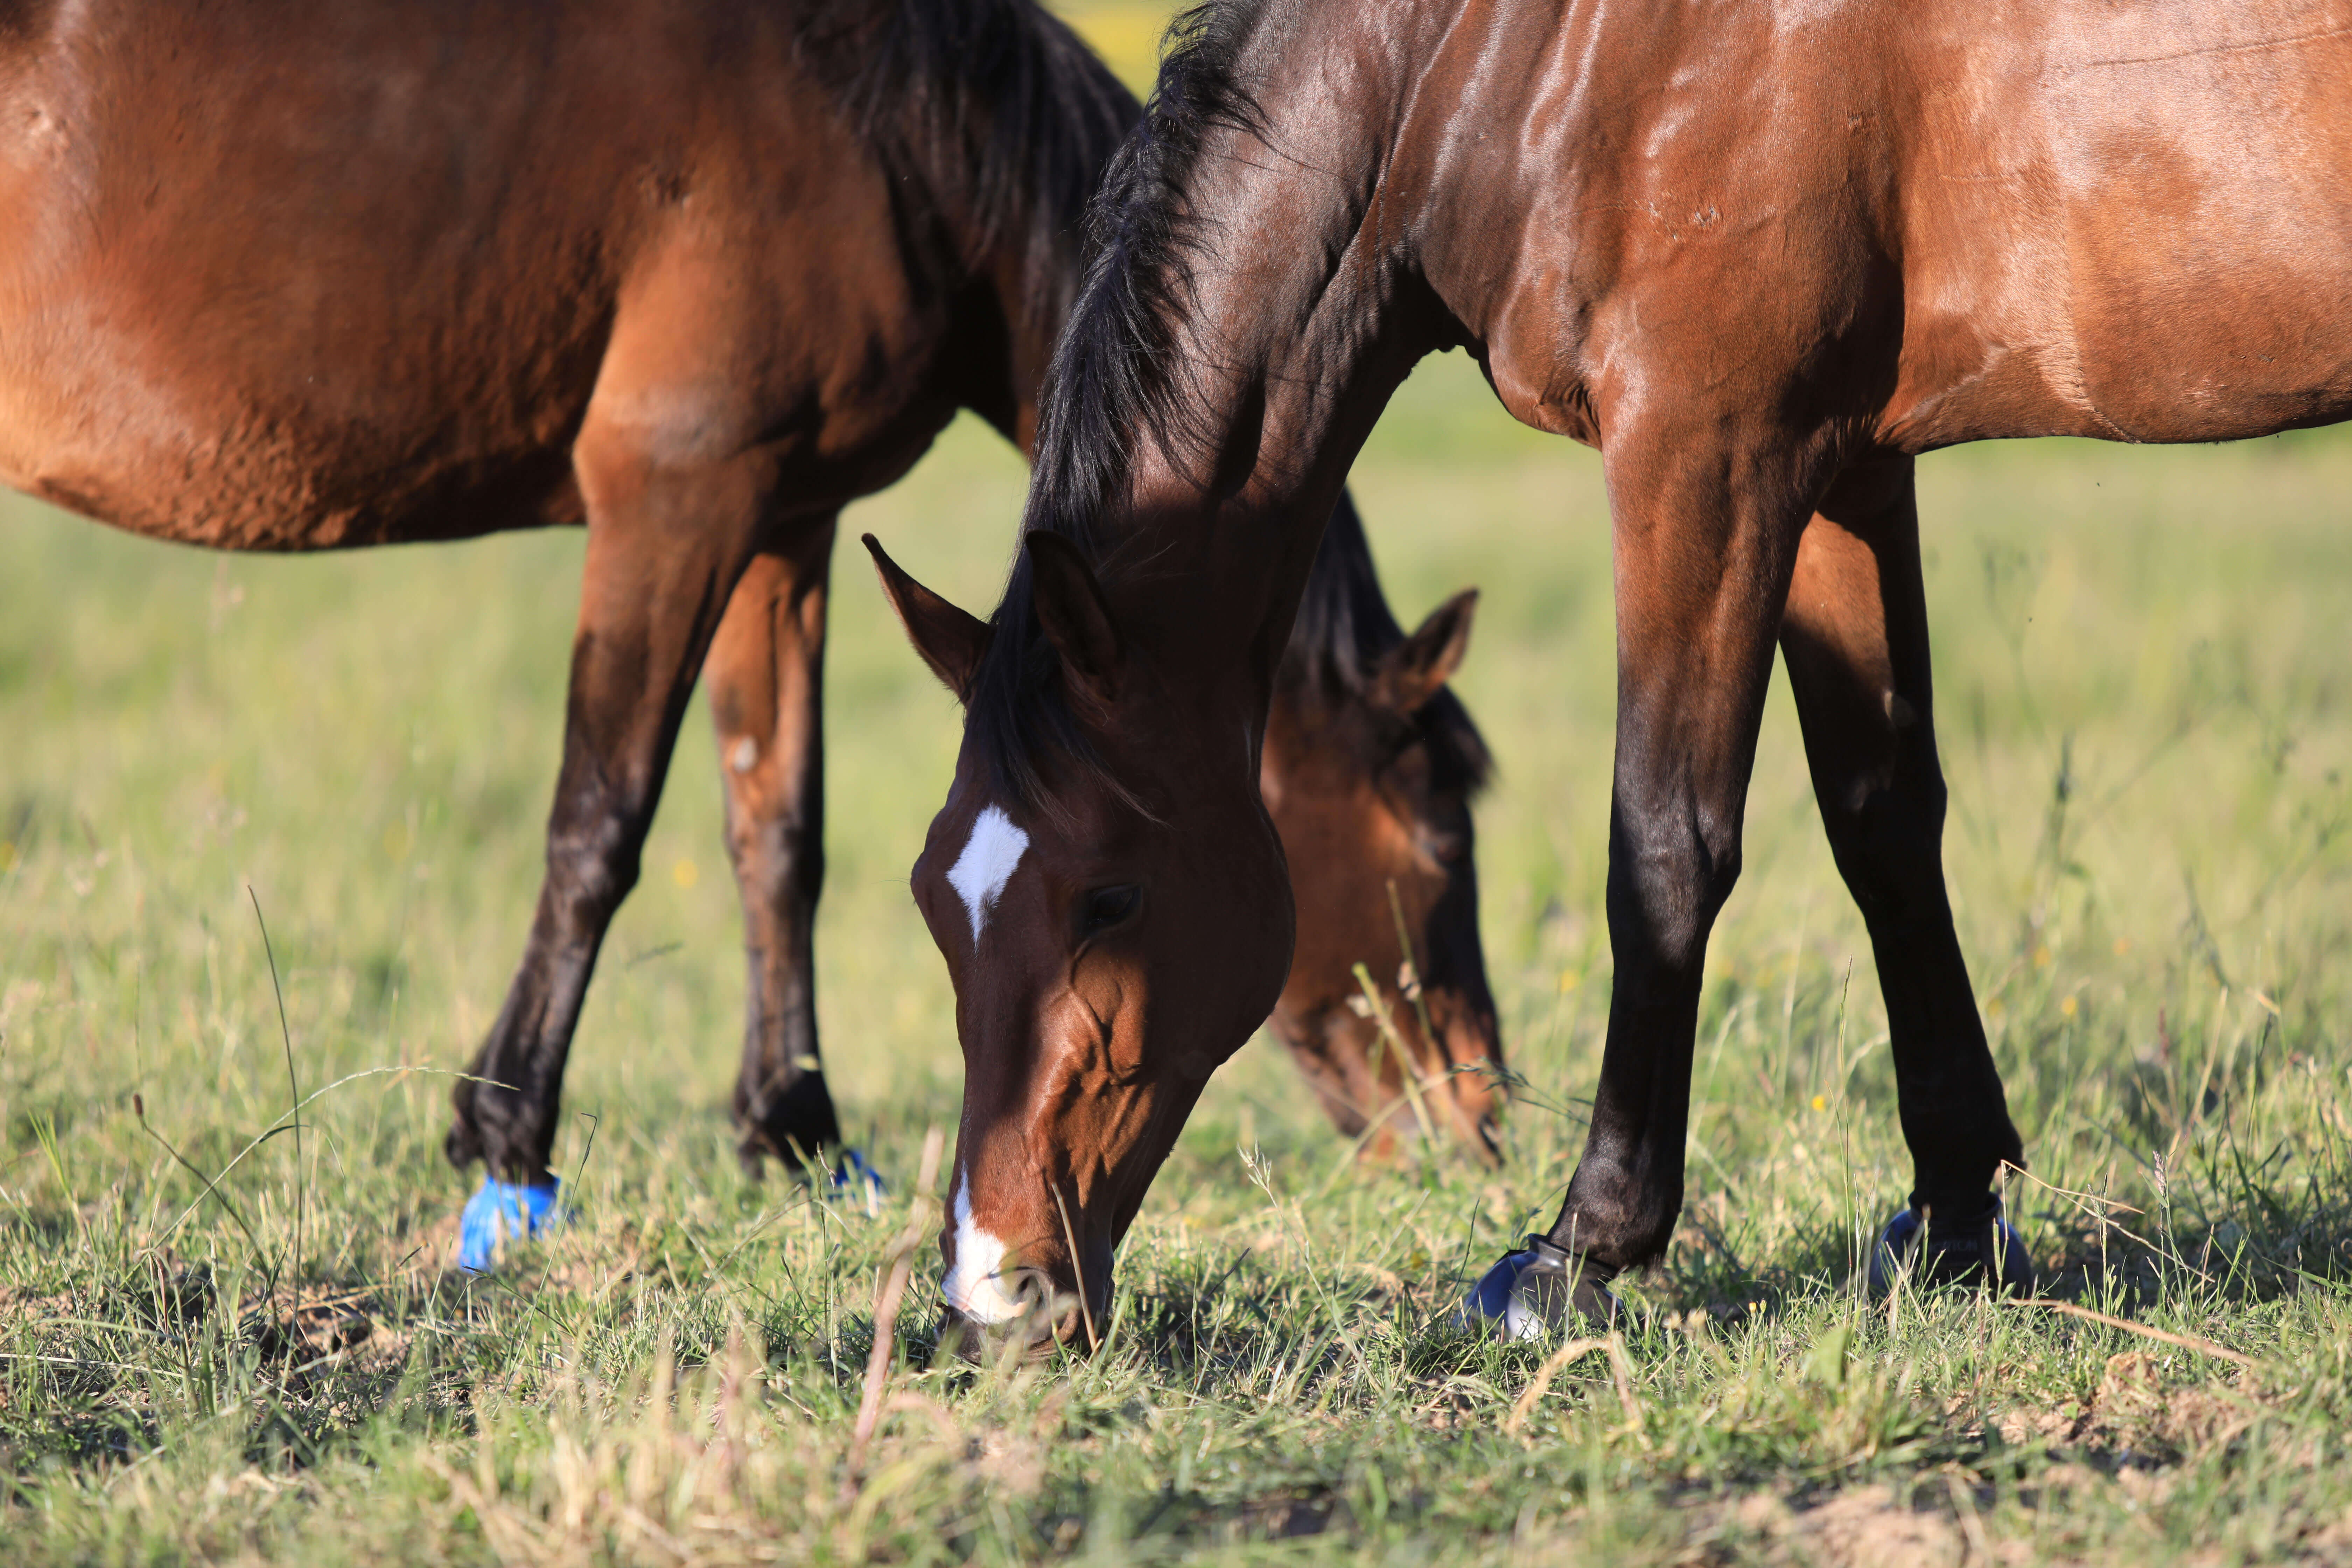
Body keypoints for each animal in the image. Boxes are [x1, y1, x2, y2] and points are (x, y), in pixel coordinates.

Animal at [0, 0, 1503, 1261]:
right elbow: (599, 820)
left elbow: (777, 829)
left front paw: (796, 1131)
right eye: (1438, 838)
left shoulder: (784, 524)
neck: (880, 128)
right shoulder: (673, 497)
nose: (1478, 1123)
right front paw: (507, 1146)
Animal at [878, 0, 2352, 1346]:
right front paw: (1951, 1220)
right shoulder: (1841, 470)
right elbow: (1881, 825)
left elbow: (1662, 850)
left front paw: (1579, 1249)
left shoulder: (1703, 451)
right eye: (931, 899)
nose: (994, 1288)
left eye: (1109, 898)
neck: (1507, 60)